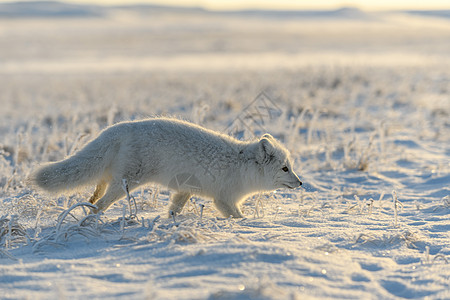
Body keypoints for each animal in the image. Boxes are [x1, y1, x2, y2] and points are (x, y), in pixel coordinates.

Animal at [31, 117, 302, 218]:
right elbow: (237, 217)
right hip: (127, 183)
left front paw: (170, 223)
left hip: (111, 177)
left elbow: (173, 209)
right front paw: (245, 228)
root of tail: (119, 127)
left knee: (95, 194)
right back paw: (90, 221)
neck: (242, 165)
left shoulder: (185, 190)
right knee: (100, 204)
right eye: (285, 169)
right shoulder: (224, 199)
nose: (301, 182)